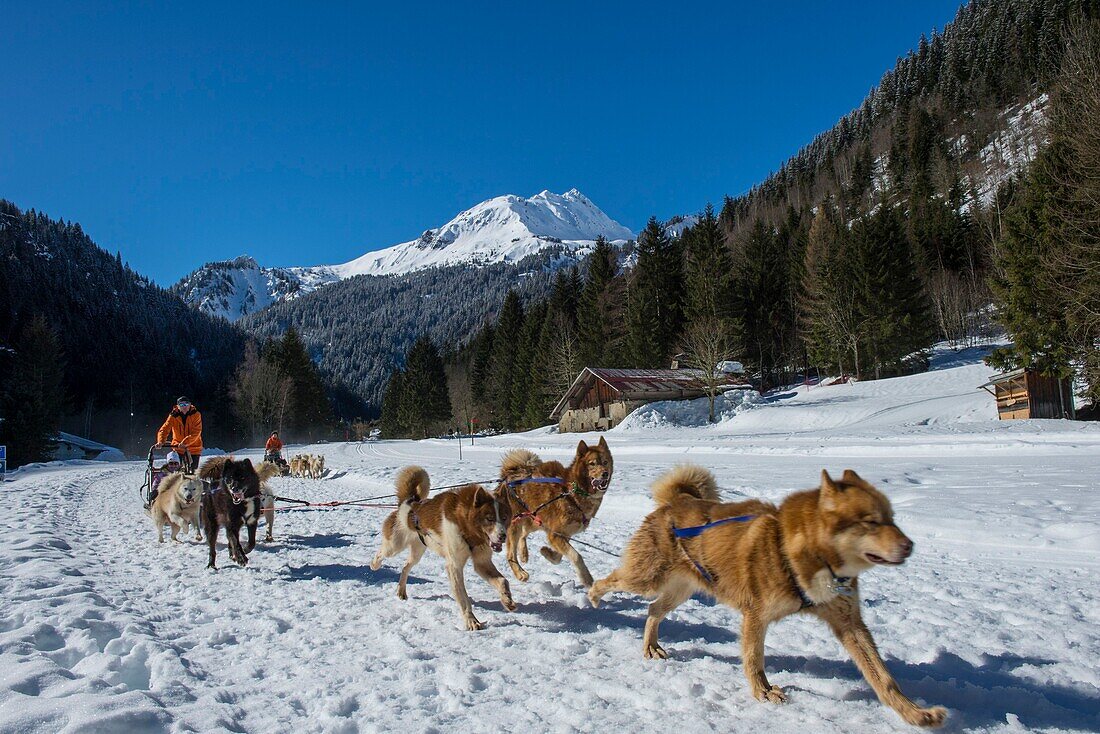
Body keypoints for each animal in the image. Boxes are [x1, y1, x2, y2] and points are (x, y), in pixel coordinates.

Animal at [594, 464, 946, 730]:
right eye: (870, 521)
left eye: (892, 518)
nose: (909, 546)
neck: (796, 550)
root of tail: (674, 503)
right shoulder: (756, 615)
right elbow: (754, 659)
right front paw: (763, 692)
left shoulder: (849, 623)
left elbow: (883, 679)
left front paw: (915, 713)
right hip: (646, 578)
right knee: (610, 581)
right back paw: (593, 595)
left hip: (680, 590)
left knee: (653, 610)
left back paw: (651, 645)